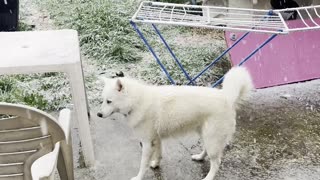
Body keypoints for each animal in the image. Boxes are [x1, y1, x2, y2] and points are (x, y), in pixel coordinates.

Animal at [97, 67, 252, 180]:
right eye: (103, 100)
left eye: (109, 101)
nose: (98, 115)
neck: (136, 101)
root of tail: (227, 97)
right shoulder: (156, 139)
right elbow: (158, 154)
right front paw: (156, 164)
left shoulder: (147, 143)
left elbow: (142, 164)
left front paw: (138, 177)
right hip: (206, 135)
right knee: (207, 151)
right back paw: (199, 157)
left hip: (212, 138)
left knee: (216, 163)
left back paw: (208, 178)